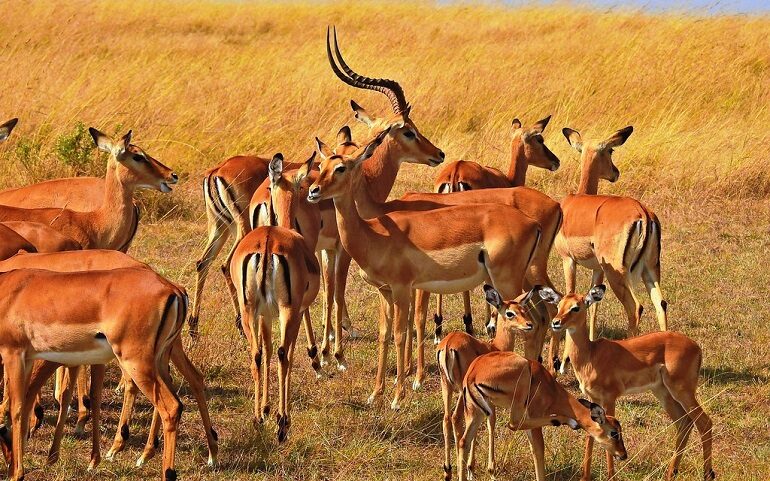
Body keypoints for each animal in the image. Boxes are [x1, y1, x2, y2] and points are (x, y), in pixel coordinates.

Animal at [456, 348, 624, 480]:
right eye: (614, 433)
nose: (623, 455)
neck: (550, 387)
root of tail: (473, 373)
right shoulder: (534, 416)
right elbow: (538, 450)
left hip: (476, 412)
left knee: (463, 442)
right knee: (512, 424)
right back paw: (565, 420)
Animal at [536, 284, 712, 480]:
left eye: (576, 307)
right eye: (559, 305)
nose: (556, 322)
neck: (591, 356)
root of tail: (696, 347)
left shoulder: (610, 398)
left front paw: (611, 476)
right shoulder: (592, 399)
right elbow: (591, 435)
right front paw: (585, 476)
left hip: (682, 391)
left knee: (704, 423)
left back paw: (707, 474)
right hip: (664, 393)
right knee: (684, 424)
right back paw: (670, 473)